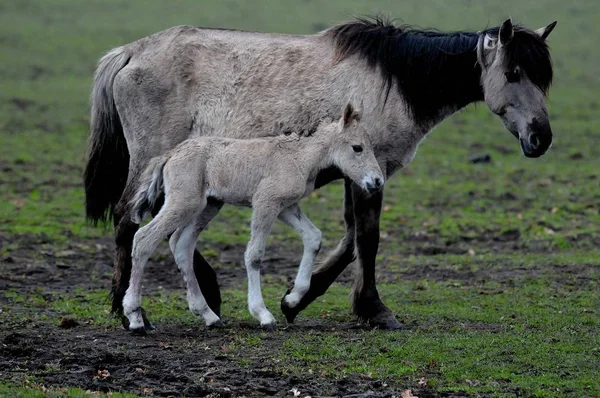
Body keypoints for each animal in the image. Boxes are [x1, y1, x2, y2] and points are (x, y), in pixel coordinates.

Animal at [122, 103, 384, 332]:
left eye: (371, 146)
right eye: (357, 147)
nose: (377, 182)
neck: (299, 157)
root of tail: (170, 154)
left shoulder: (287, 207)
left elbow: (313, 237)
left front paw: (292, 299)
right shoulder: (265, 203)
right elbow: (254, 254)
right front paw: (263, 314)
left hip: (208, 205)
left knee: (181, 244)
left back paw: (208, 315)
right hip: (184, 202)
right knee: (144, 239)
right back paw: (135, 318)